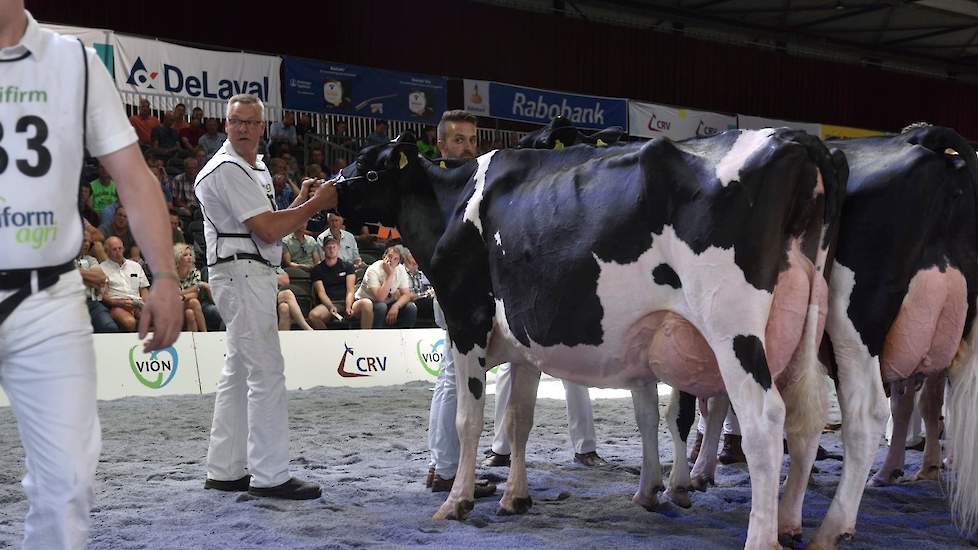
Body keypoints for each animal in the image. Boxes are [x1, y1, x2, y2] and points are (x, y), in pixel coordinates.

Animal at [334, 127, 840, 548]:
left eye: (364, 162)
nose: (328, 189)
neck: (453, 204)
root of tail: (795, 140)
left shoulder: (466, 321)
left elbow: (468, 419)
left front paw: (457, 500)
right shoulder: (524, 347)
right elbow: (520, 419)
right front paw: (515, 497)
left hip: (732, 330)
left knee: (765, 421)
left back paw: (761, 535)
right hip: (806, 331)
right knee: (808, 417)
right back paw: (794, 523)